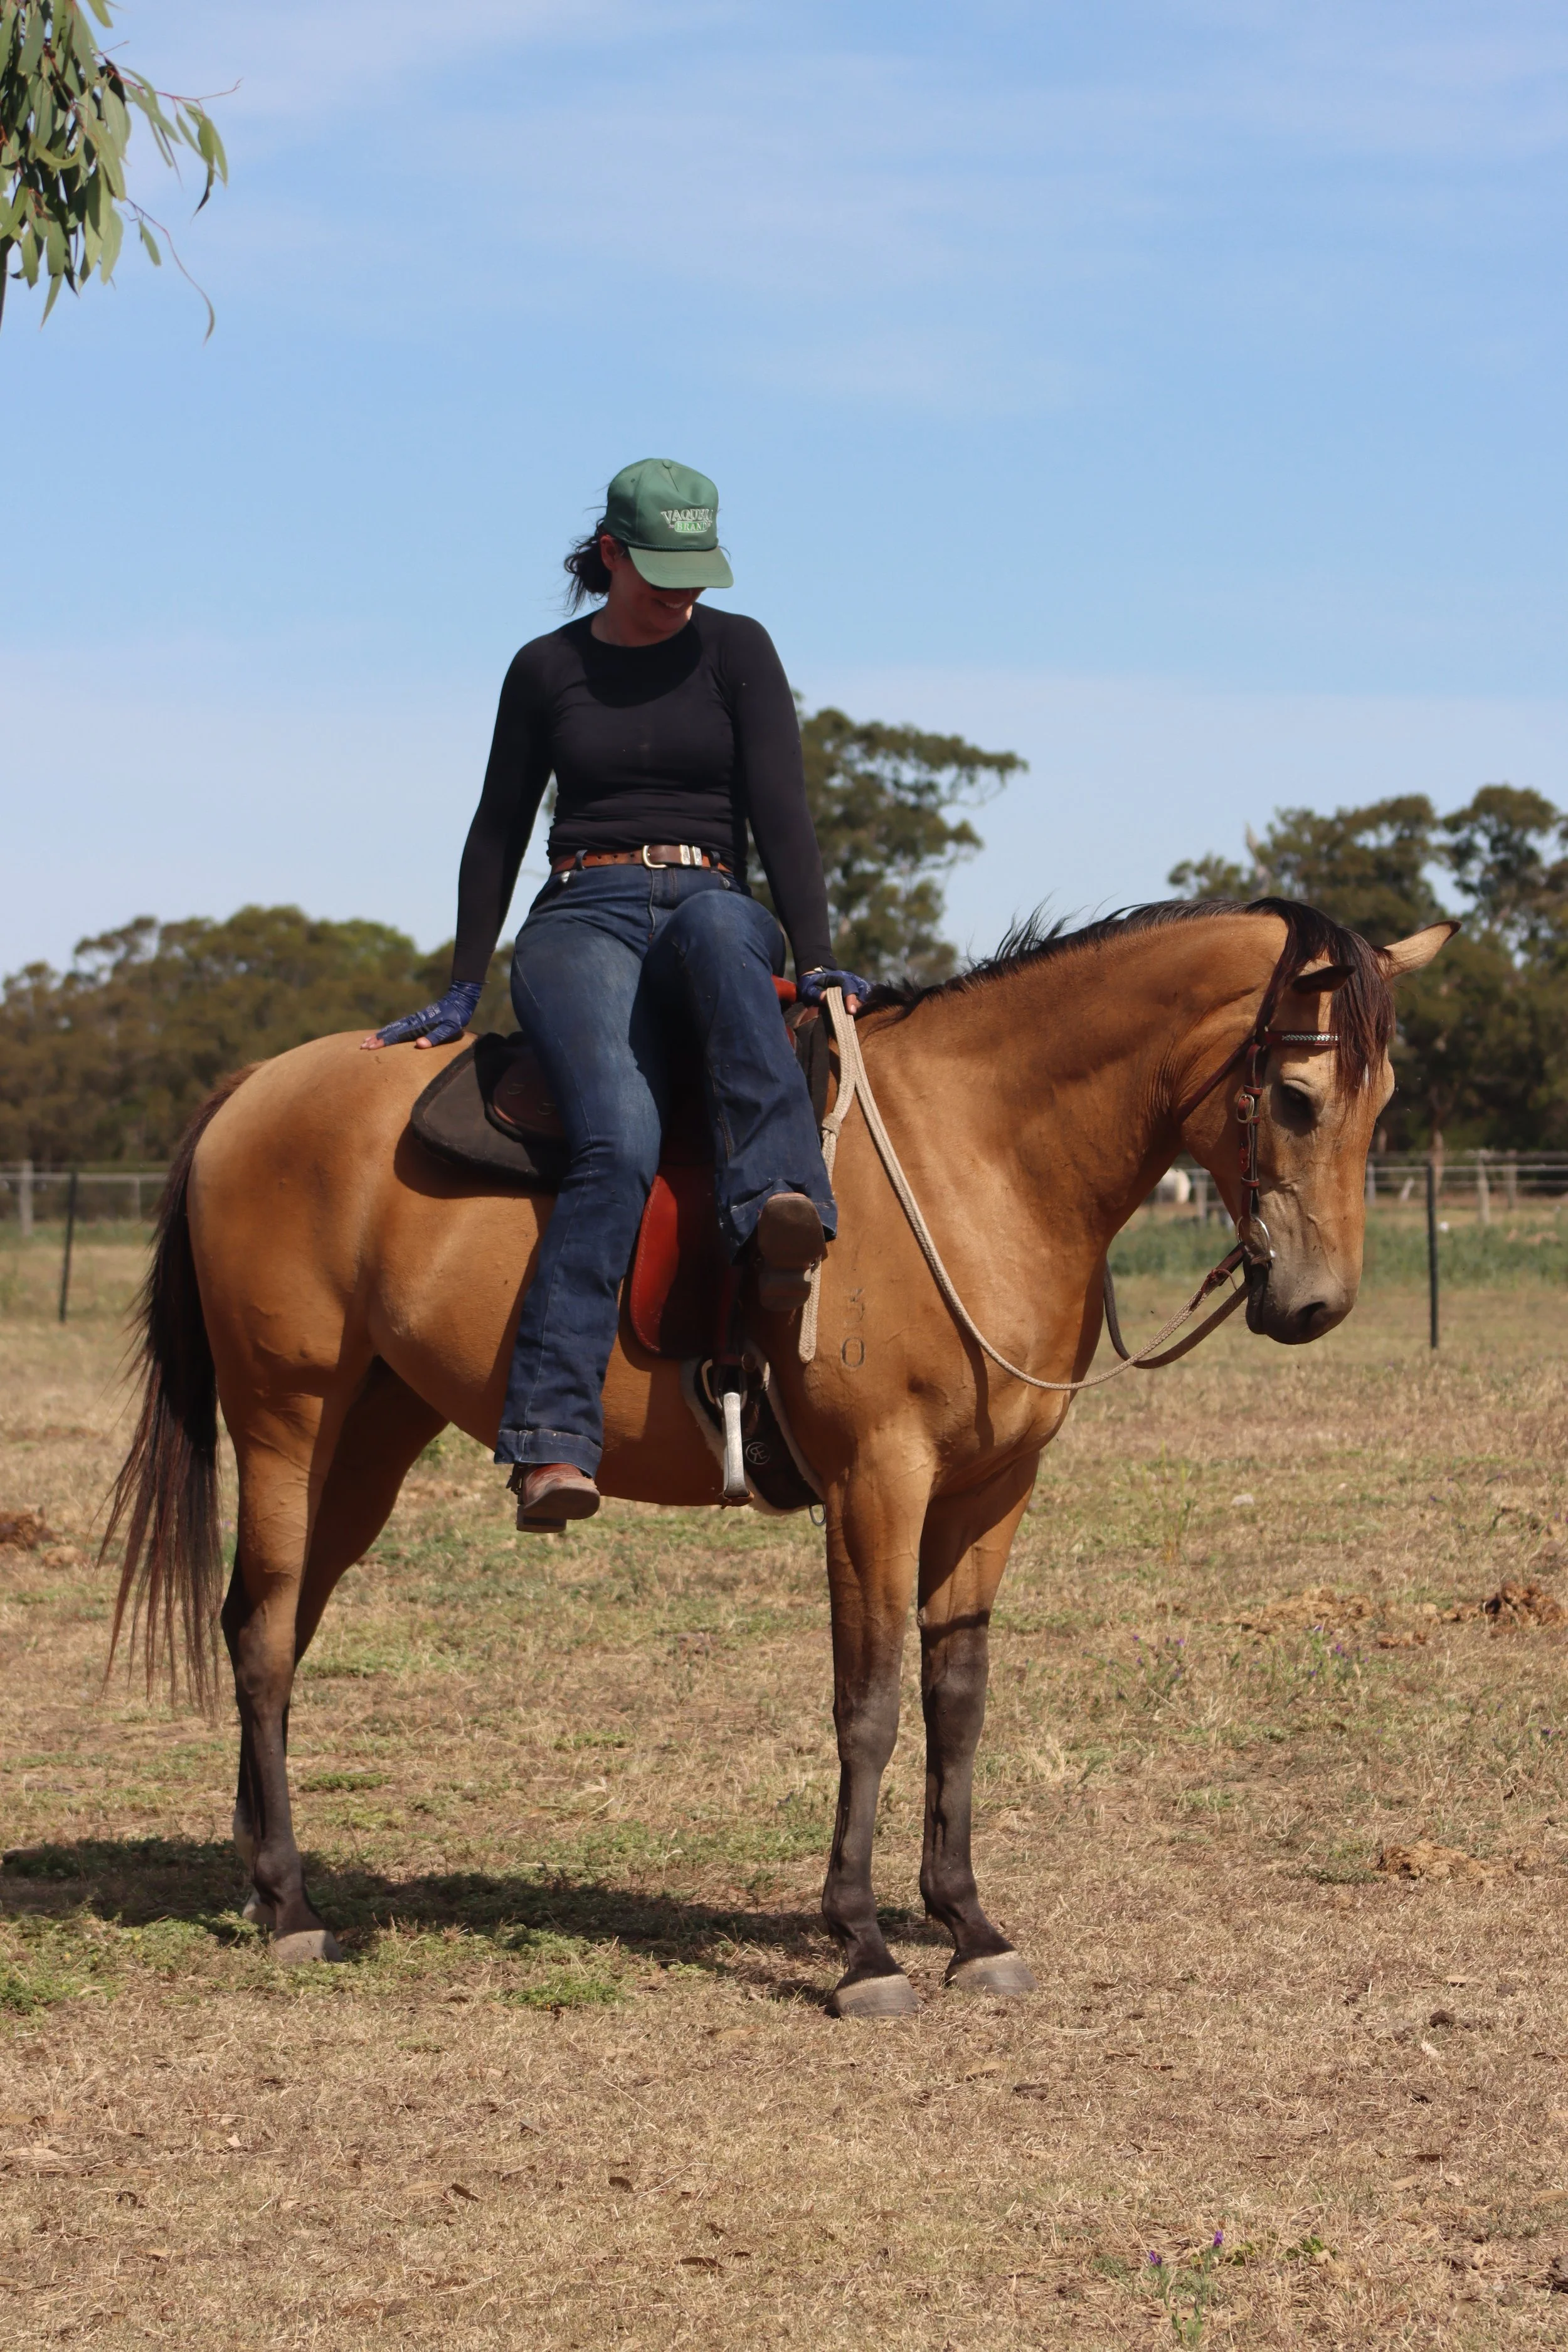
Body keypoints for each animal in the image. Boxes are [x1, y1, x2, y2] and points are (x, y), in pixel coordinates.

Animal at [105, 897, 1452, 2016]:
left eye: (1384, 1103)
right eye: (1294, 1098)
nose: (1316, 1304)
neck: (978, 1155)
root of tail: (252, 1091)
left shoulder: (991, 1492)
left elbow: (956, 1698)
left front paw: (968, 1924)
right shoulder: (877, 1483)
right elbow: (869, 1704)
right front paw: (861, 1946)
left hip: (372, 1437)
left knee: (269, 1625)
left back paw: (258, 1878)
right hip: (286, 1419)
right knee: (264, 1635)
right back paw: (291, 1905)